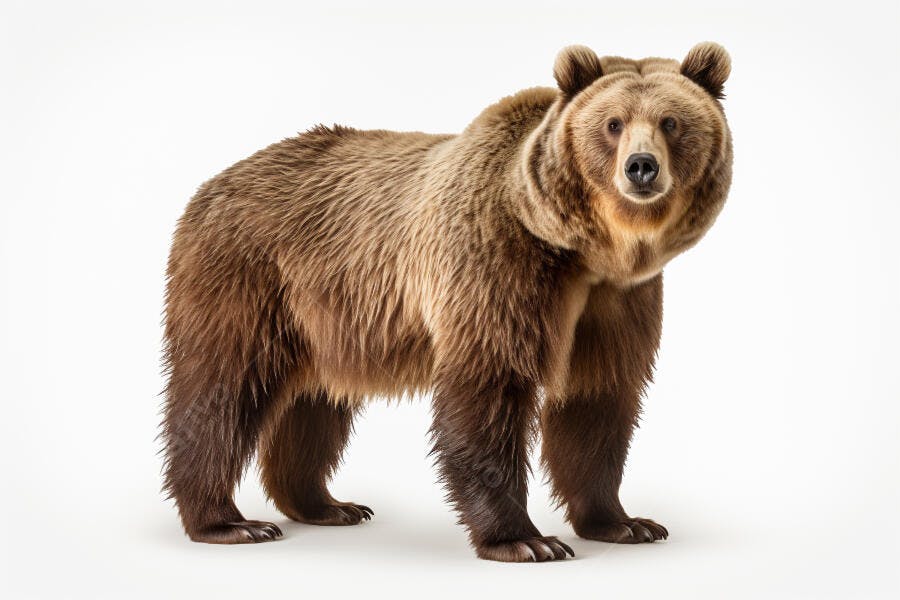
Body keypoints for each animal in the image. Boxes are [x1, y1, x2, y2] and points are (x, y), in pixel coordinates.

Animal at [161, 42, 732, 562]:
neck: (580, 252)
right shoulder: (496, 266)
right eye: (613, 123)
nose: (641, 167)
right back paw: (228, 521)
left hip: (327, 314)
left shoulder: (616, 301)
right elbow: (490, 387)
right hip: (249, 275)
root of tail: (211, 183)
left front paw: (626, 522)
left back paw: (326, 505)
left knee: (316, 402)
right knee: (223, 385)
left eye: (671, 122)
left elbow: (598, 399)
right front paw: (526, 539)